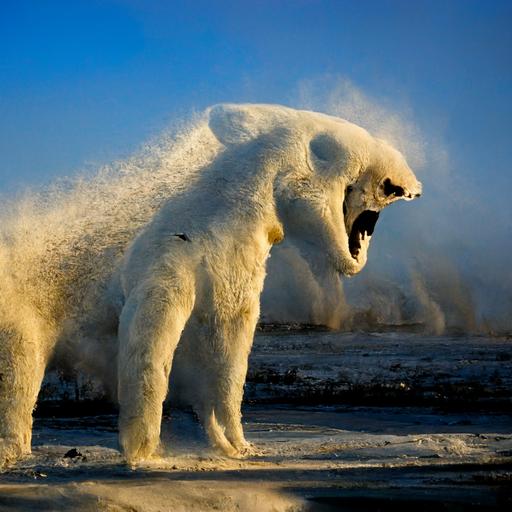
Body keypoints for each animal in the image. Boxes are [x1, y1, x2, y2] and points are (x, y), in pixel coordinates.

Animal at [0, 105, 420, 468]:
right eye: (325, 147)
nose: (406, 185)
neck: (227, 210)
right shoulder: (172, 249)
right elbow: (152, 329)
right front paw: (142, 449)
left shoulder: (238, 267)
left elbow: (230, 347)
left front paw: (233, 444)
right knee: (20, 366)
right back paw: (12, 449)